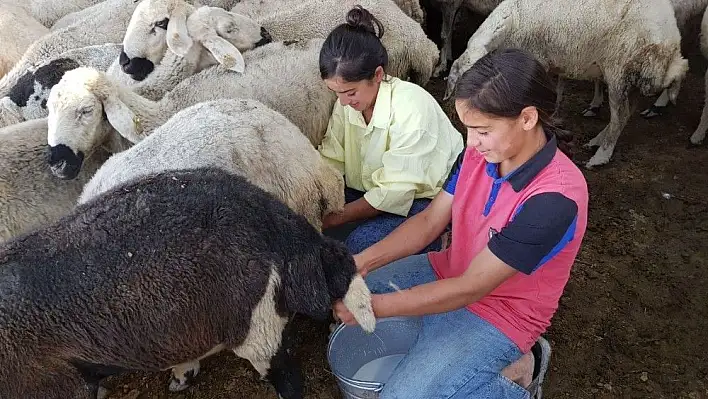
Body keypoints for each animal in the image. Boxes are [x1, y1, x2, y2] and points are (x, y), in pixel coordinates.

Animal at [446, 0, 688, 167]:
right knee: (626, 113)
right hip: (630, 77)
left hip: (619, 69)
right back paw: (598, 140)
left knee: (620, 115)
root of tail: (671, 44)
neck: (512, 20)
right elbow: (559, 89)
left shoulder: (539, 59)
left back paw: (601, 155)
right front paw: (555, 116)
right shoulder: (557, 60)